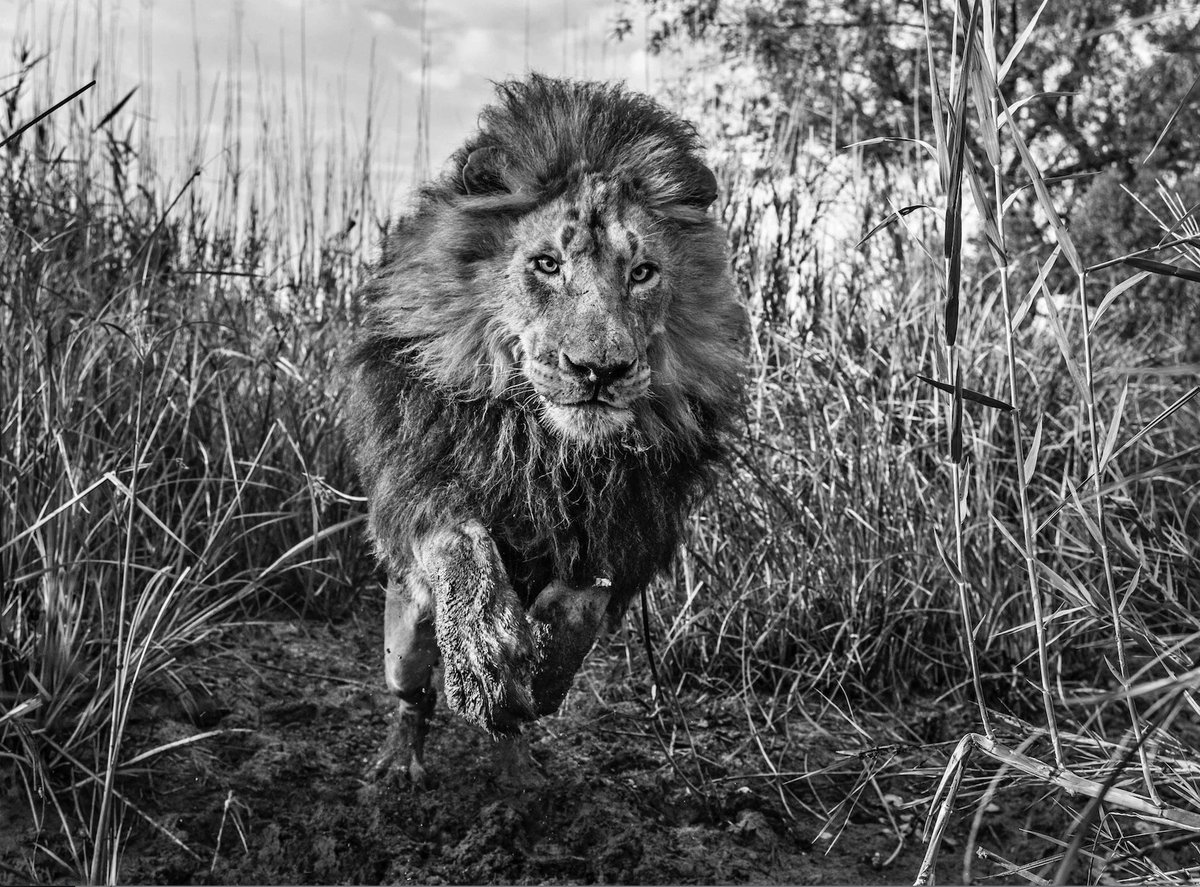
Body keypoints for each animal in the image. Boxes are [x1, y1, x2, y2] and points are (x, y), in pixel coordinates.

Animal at [345, 74, 746, 785]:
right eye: (547, 264)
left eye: (643, 272)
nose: (600, 370)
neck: (550, 446)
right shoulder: (425, 480)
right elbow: (460, 544)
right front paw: (484, 655)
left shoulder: (625, 522)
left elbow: (579, 605)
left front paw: (539, 671)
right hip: (405, 624)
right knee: (412, 690)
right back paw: (399, 764)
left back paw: (518, 766)